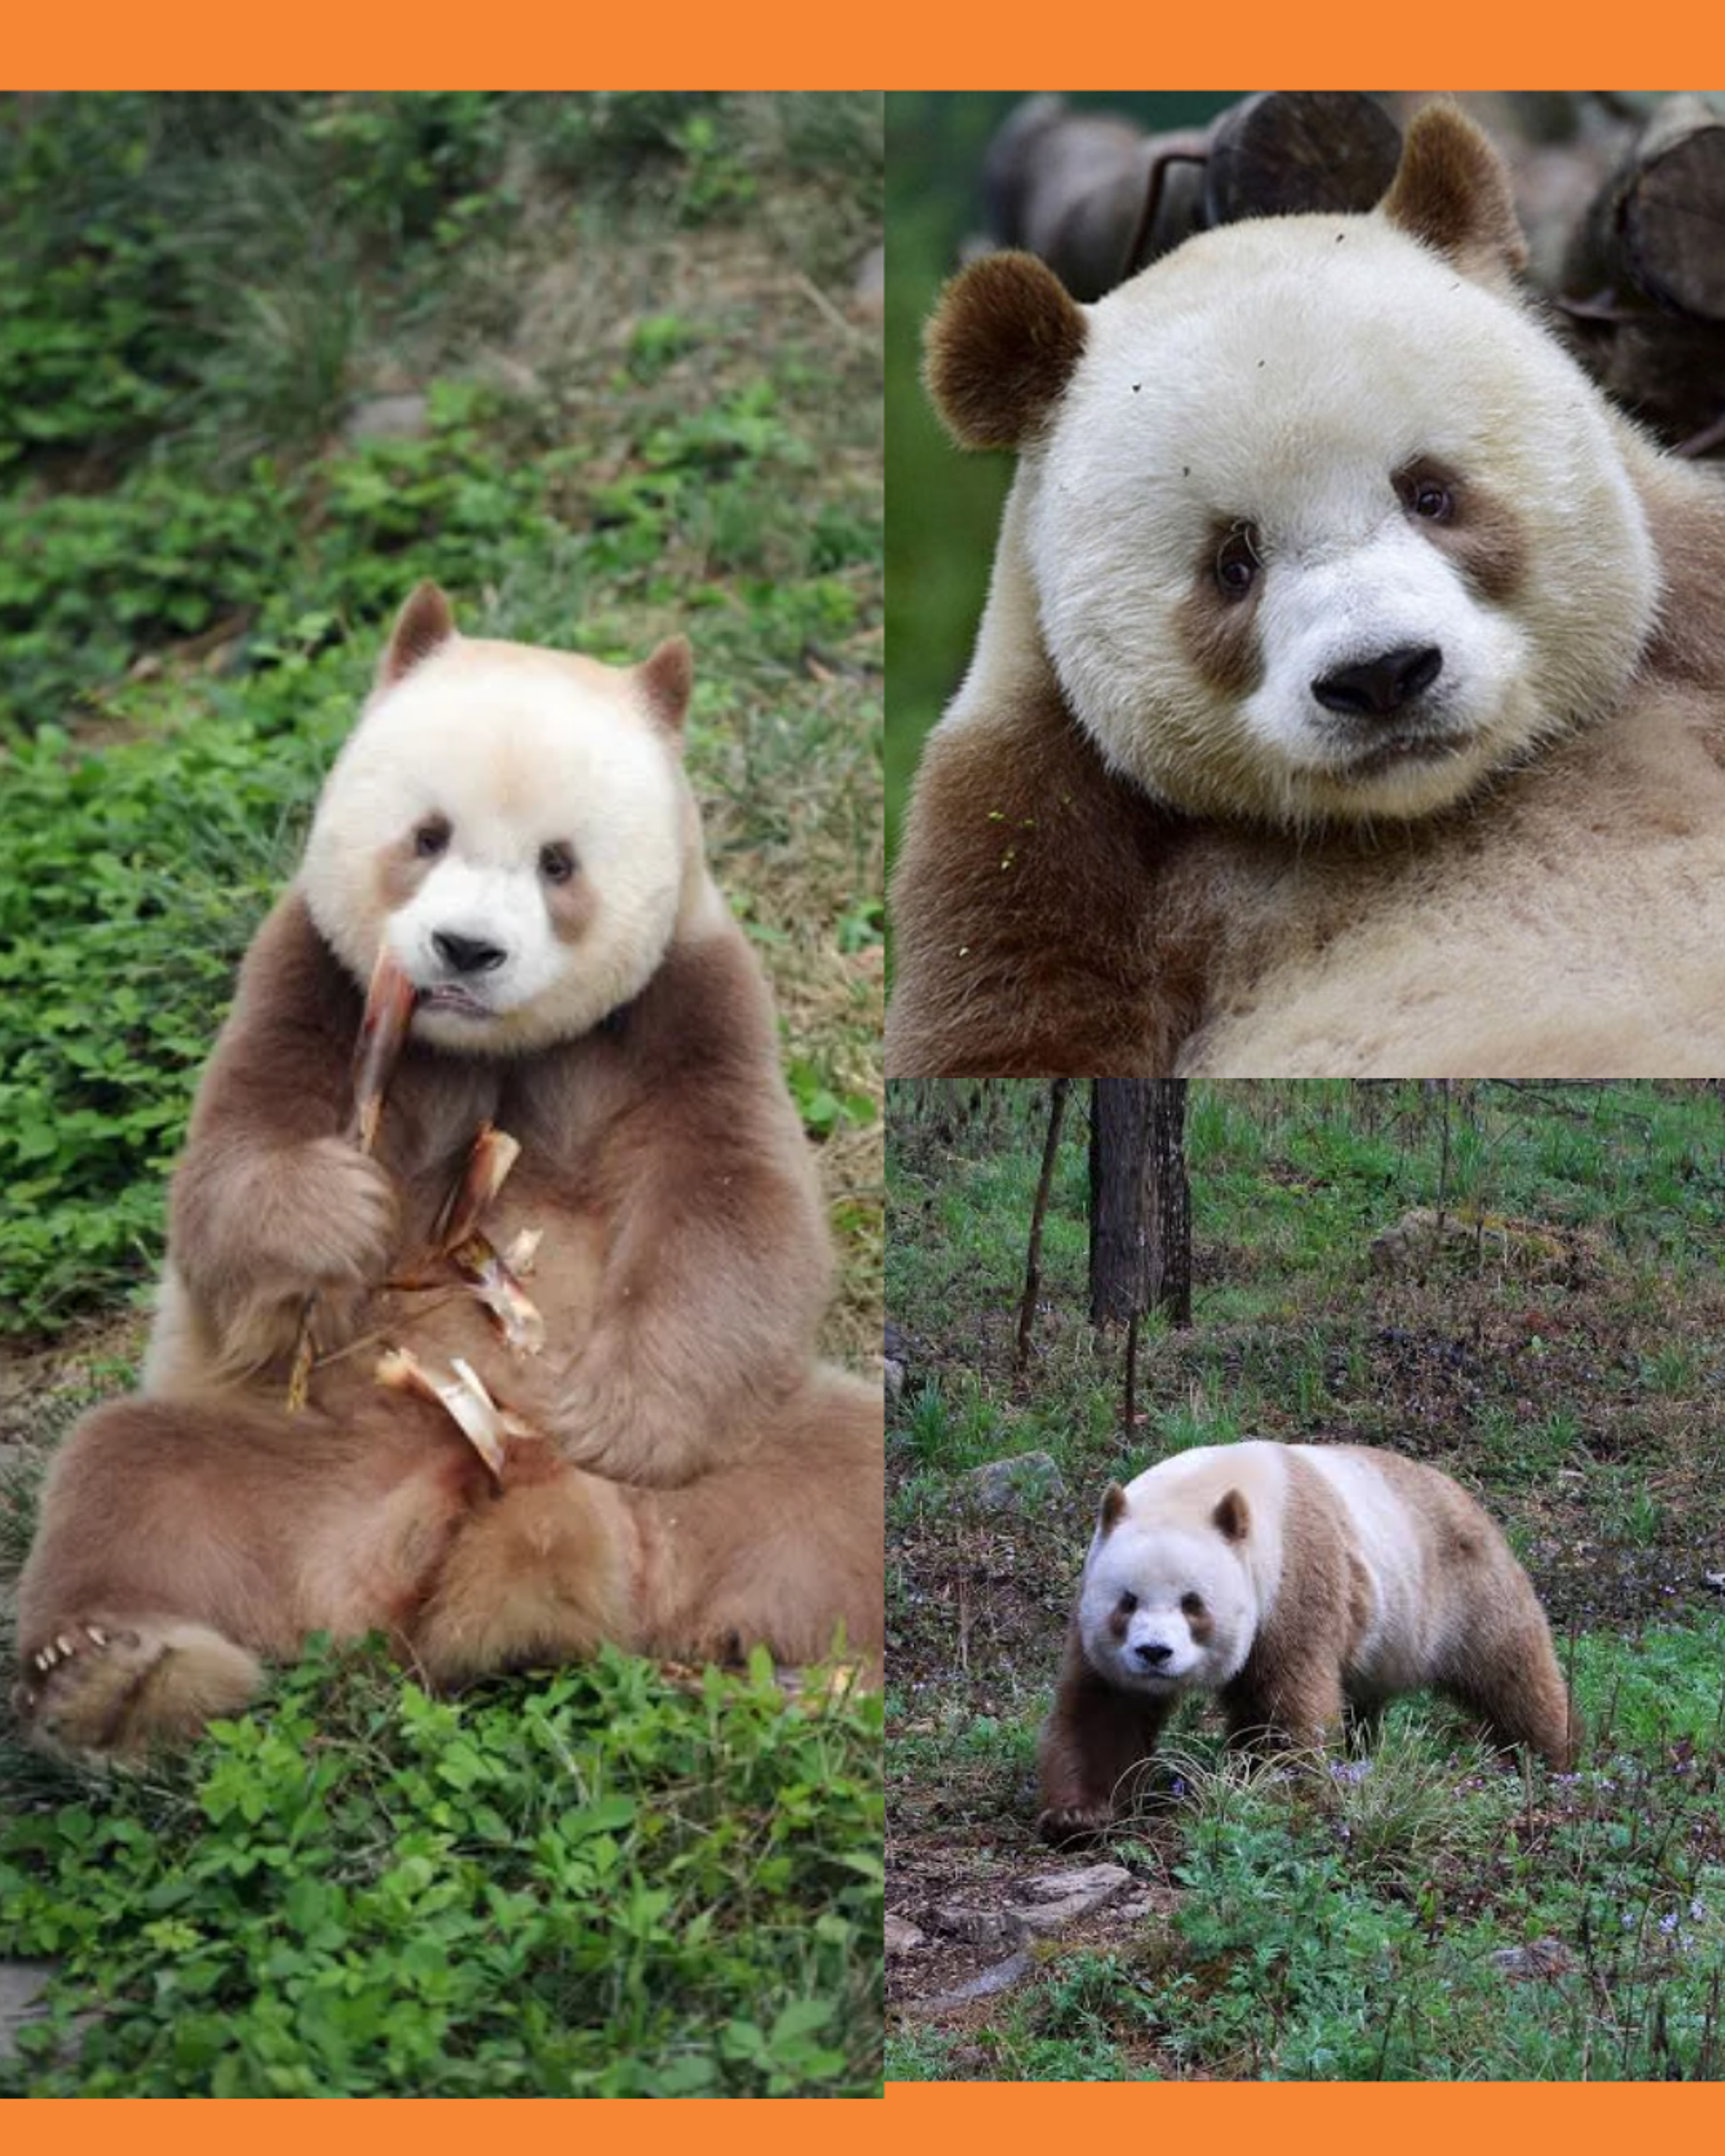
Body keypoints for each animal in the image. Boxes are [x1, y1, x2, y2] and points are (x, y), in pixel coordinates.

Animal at [14, 585, 882, 1759]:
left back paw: (831, 1680)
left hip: (732, 1479)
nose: (466, 950)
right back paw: (117, 1672)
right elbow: (231, 1166)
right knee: (129, 1479)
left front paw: (616, 1413)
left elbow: (733, 1206)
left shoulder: (685, 1004)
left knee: (851, 1479)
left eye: (558, 863)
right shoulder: (319, 976)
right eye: (427, 836)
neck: (490, 1046)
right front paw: (331, 1218)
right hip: (299, 1464)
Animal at [886, 104, 1725, 1078]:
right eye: (1232, 564)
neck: (1422, 808)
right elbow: (1006, 1026)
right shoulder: (1036, 829)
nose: (1383, 675)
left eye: (1431, 494)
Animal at [1038, 1440, 1576, 1843]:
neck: (1202, 1491)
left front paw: (1271, 1790)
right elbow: (1105, 1707)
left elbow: (1286, 1703)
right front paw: (1079, 1817)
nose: (1154, 1653)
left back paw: (1553, 1760)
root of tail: (1461, 1491)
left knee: (1511, 1671)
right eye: (1127, 1602)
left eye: (1193, 1604)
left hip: (1457, 1588)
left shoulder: (1293, 1579)